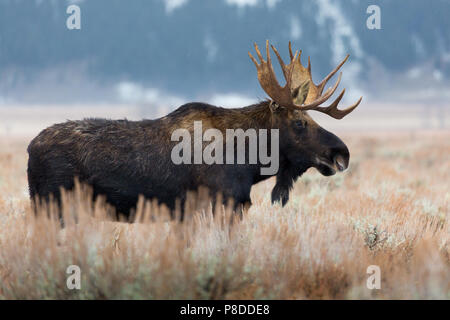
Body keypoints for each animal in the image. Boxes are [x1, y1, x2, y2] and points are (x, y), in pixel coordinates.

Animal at [26, 40, 362, 220]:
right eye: (299, 122)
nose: (341, 153)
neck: (250, 160)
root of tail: (30, 149)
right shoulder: (222, 201)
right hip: (52, 204)